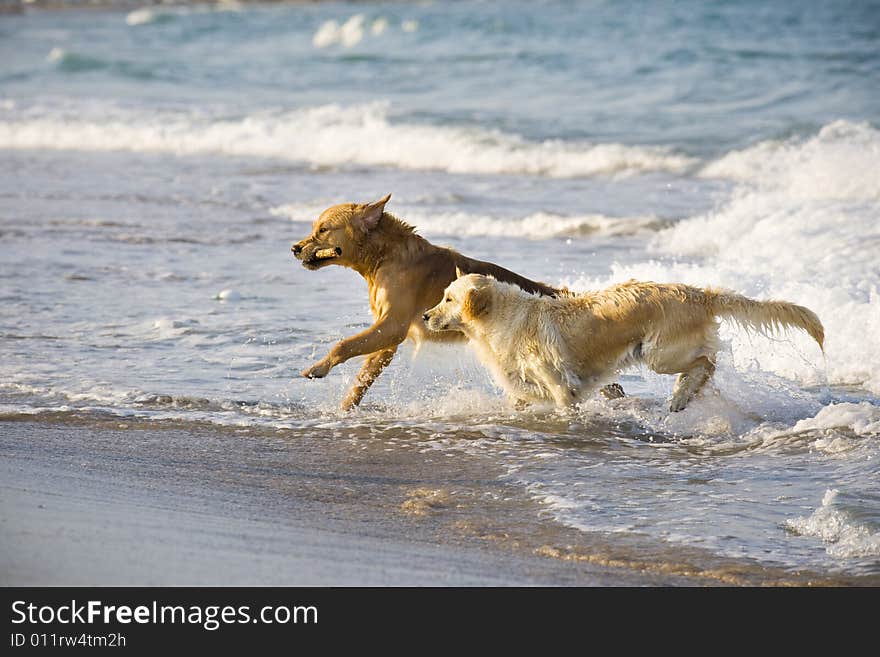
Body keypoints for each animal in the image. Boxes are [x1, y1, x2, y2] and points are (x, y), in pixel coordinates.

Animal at [290, 193, 576, 410]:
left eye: (323, 230)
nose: (294, 248)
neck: (385, 258)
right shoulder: (387, 339)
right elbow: (362, 379)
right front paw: (344, 409)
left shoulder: (393, 326)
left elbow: (344, 345)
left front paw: (318, 368)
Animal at [424, 272, 824, 410]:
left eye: (448, 299)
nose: (425, 316)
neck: (506, 319)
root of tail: (699, 293)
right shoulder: (523, 382)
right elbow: (519, 397)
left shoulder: (560, 384)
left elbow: (563, 403)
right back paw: (684, 394)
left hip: (659, 353)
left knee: (708, 361)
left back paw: (681, 394)